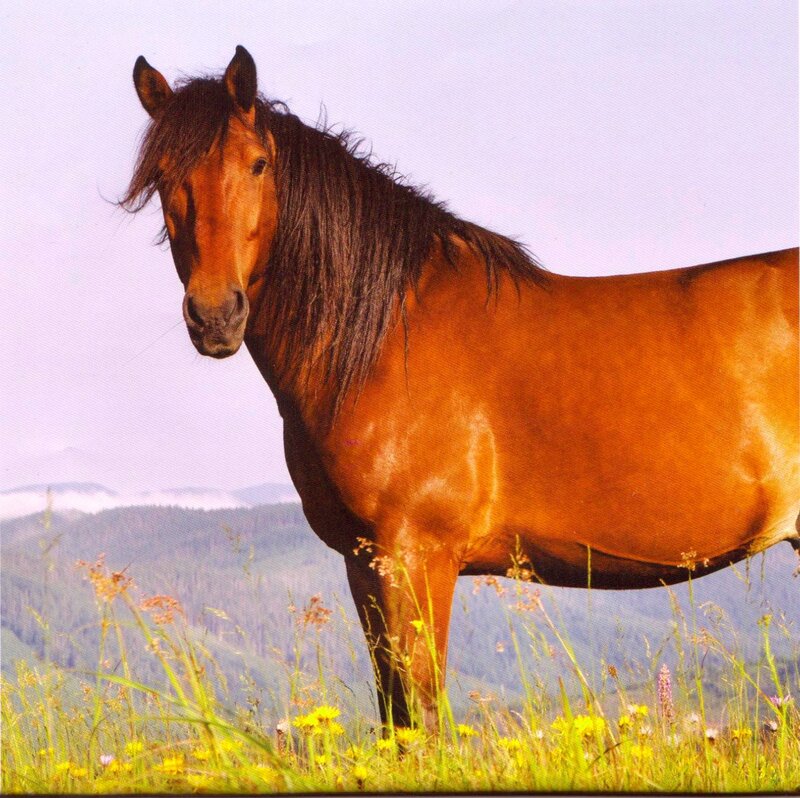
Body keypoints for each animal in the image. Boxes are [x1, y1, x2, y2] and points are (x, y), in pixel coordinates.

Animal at [125, 45, 799, 730]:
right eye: (161, 176)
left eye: (258, 164)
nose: (215, 316)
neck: (387, 336)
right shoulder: (364, 564)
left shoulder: (416, 559)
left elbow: (421, 718)